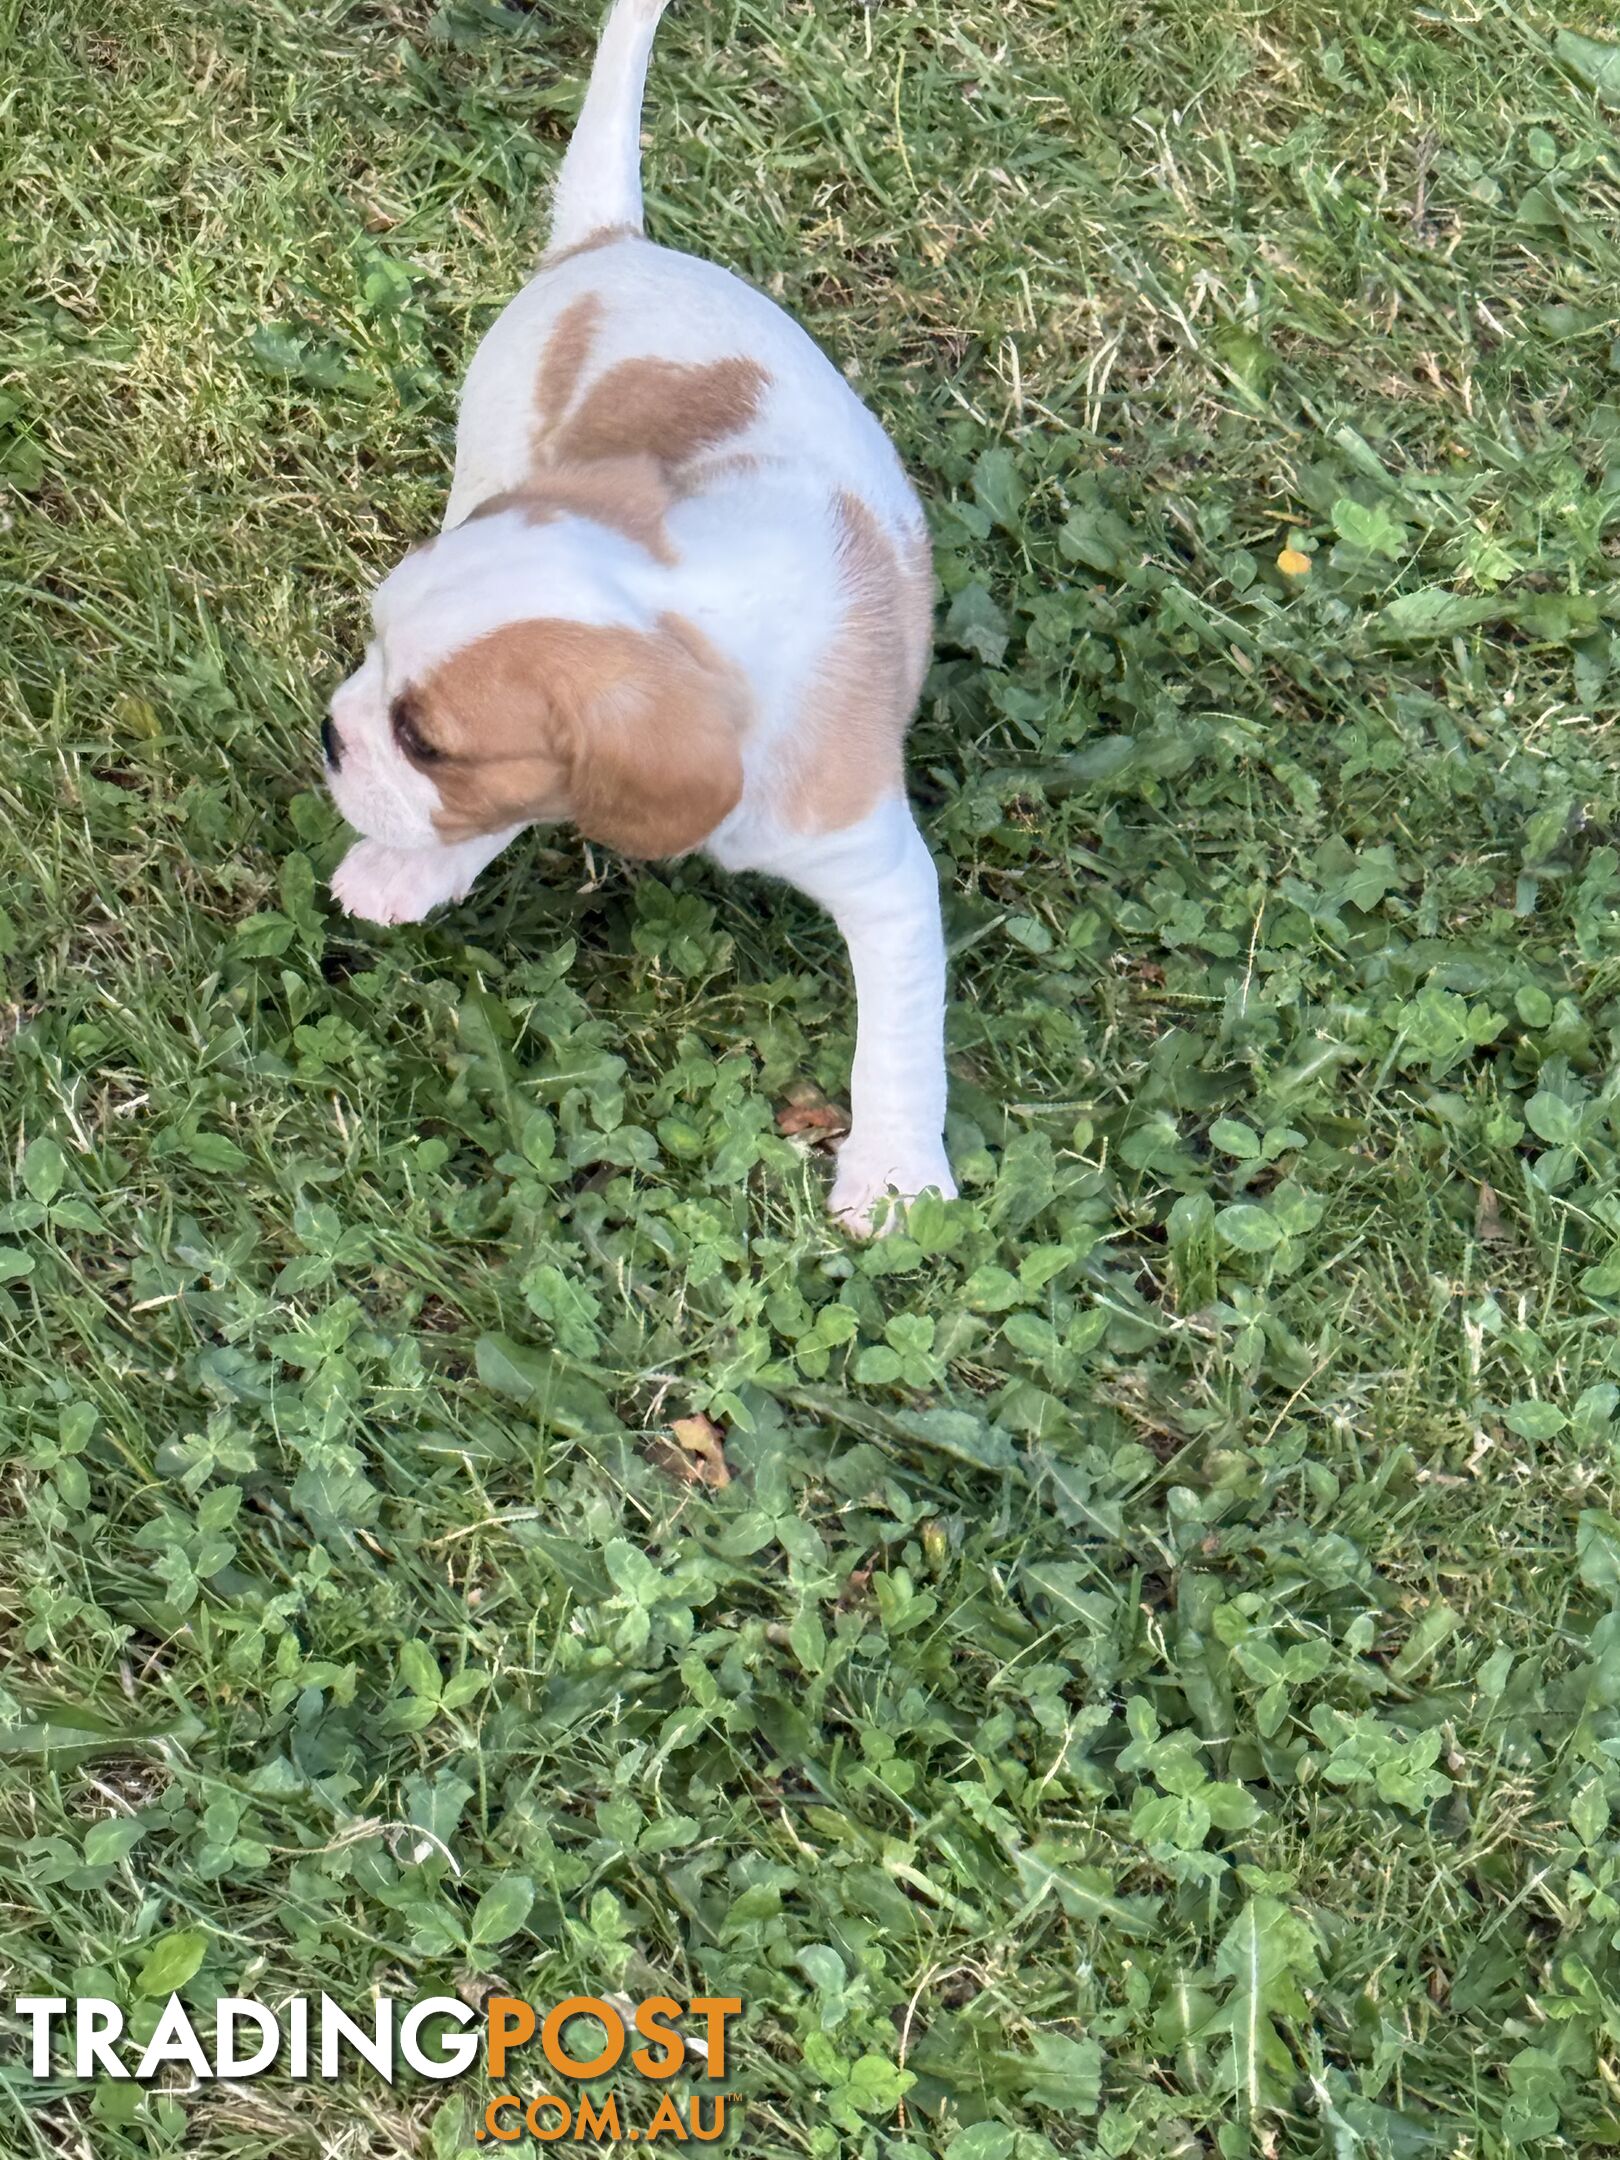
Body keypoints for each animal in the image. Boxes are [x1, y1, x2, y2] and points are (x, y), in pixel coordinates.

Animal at [326, 0, 959, 1235]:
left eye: (425, 740)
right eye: (370, 650)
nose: (330, 733)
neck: (692, 604)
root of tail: (608, 243)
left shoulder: (884, 879)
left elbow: (900, 1044)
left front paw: (897, 1174)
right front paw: (417, 864)